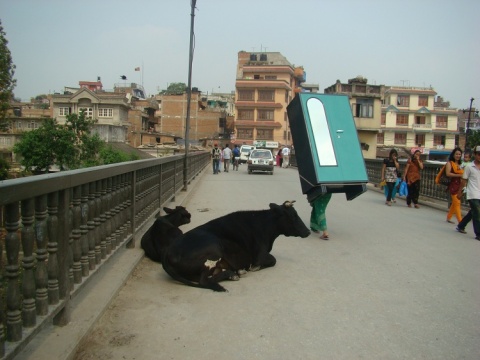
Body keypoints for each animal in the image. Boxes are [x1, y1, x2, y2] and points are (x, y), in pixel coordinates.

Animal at [162, 201, 312, 292]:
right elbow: (273, 260)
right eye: (293, 216)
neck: (265, 226)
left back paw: (234, 273)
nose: (308, 231)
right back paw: (233, 274)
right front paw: (255, 268)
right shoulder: (259, 256)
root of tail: (168, 252)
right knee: (204, 281)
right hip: (214, 248)